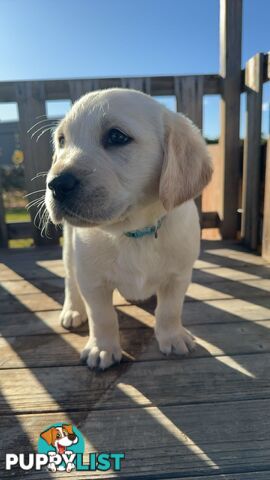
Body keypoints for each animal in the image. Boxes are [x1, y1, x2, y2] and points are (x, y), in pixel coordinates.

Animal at [44, 88, 213, 370]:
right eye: (62, 140)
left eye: (116, 136)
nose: (55, 184)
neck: (134, 232)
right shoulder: (93, 281)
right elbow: (102, 316)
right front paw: (102, 348)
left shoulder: (179, 275)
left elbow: (169, 310)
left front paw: (173, 337)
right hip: (70, 249)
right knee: (70, 279)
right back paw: (73, 310)